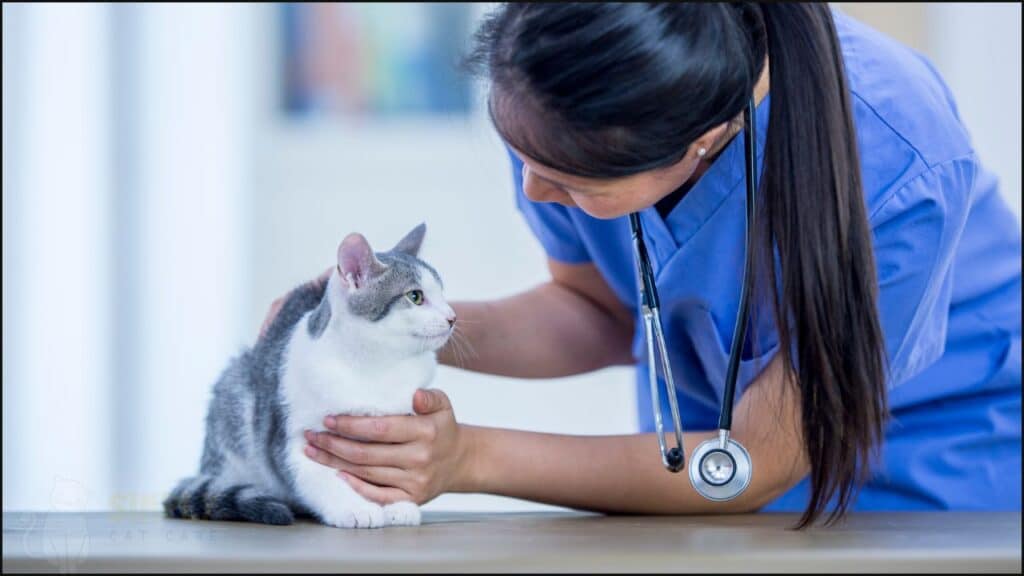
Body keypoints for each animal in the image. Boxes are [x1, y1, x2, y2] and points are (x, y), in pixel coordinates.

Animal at [160, 222, 456, 528]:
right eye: (415, 296)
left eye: (443, 294)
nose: (452, 317)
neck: (376, 365)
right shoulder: (292, 439)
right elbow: (320, 478)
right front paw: (354, 508)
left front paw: (396, 503)